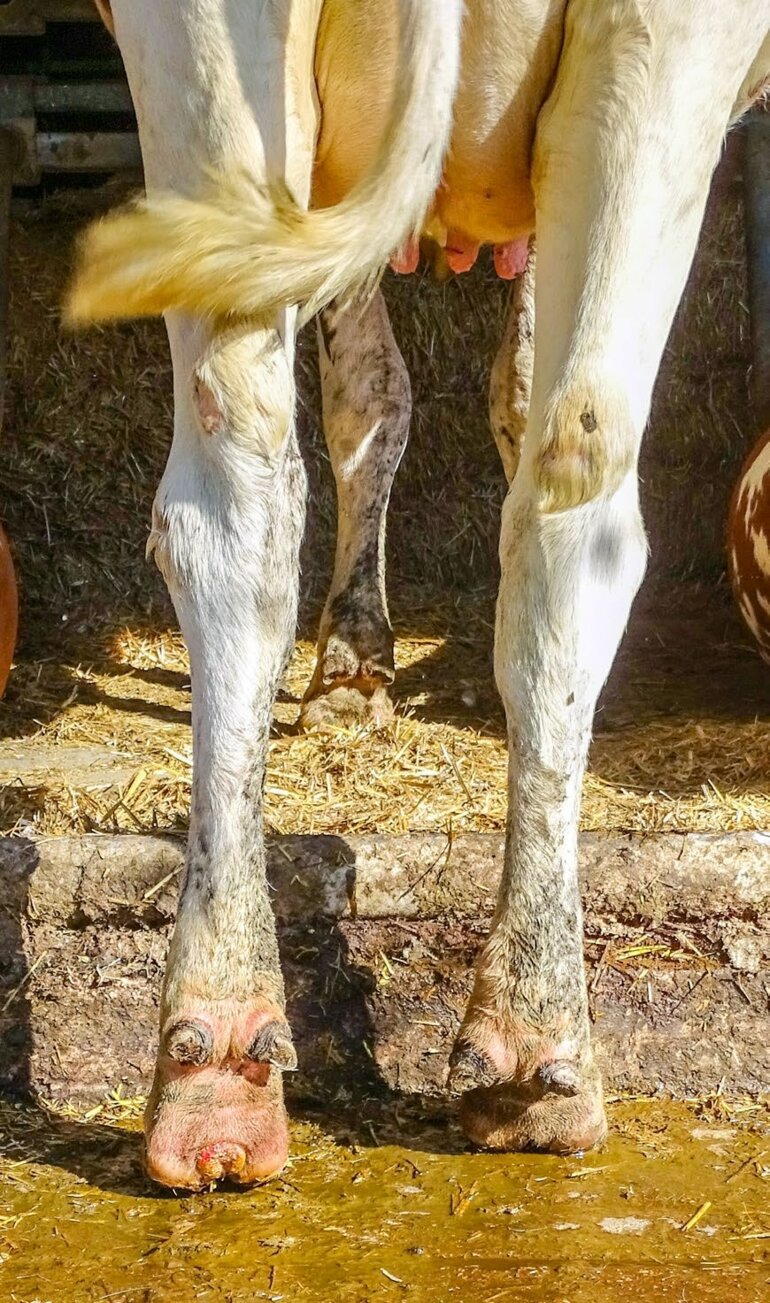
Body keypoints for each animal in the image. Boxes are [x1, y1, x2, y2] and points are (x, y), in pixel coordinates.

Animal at [71, 1, 770, 1189]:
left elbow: (421, 394)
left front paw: (356, 660)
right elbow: (401, 393)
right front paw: (356, 660)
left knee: (249, 485)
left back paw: (229, 1053)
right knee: (563, 490)